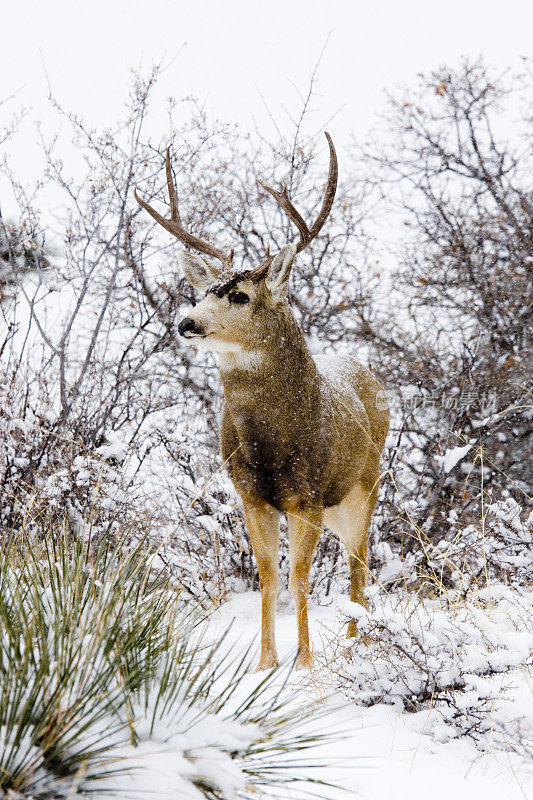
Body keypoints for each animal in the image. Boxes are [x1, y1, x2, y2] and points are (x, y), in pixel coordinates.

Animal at [134, 134, 386, 672]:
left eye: (241, 296)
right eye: (204, 290)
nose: (186, 322)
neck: (271, 445)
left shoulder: (307, 493)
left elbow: (299, 576)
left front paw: (305, 665)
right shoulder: (249, 493)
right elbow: (268, 574)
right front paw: (266, 663)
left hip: (363, 486)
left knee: (358, 564)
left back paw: (357, 644)